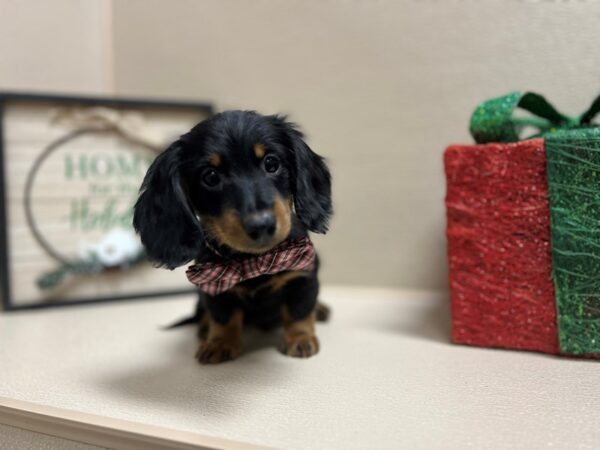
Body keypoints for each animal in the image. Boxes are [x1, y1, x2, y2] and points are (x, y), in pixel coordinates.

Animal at [132, 110, 336, 364]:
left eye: (272, 163)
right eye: (210, 176)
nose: (262, 225)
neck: (255, 261)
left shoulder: (302, 275)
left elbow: (299, 310)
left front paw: (300, 338)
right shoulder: (212, 288)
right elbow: (223, 316)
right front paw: (220, 342)